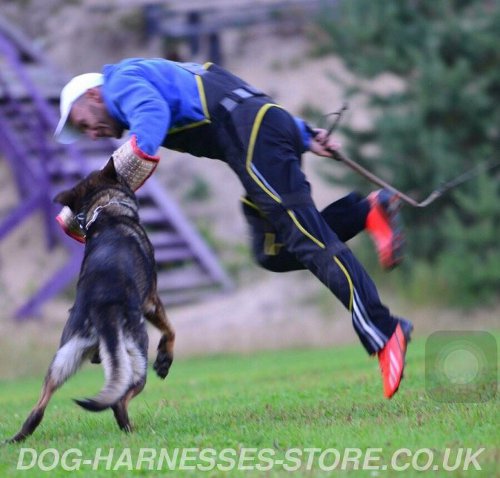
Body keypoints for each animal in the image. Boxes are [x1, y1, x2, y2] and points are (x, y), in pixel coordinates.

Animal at [6, 159, 176, 442]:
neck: (105, 211)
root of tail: (102, 309)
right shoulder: (151, 301)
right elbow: (170, 329)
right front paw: (164, 360)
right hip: (136, 354)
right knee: (119, 400)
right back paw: (132, 430)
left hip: (62, 361)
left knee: (38, 408)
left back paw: (19, 436)